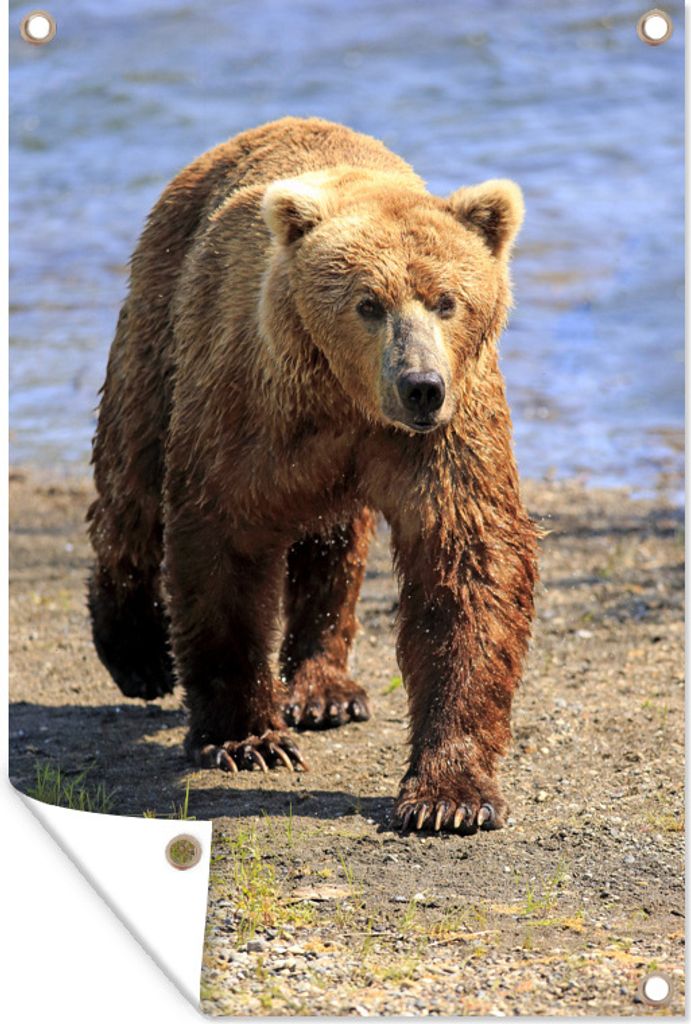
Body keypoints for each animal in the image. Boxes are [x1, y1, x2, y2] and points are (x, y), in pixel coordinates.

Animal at [87, 116, 538, 833]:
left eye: (446, 300)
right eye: (368, 303)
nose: (420, 386)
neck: (344, 399)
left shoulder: (449, 432)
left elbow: (465, 564)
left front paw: (450, 795)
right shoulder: (248, 408)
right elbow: (220, 542)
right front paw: (248, 738)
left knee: (334, 546)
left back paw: (325, 689)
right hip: (159, 319)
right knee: (132, 480)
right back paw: (137, 653)